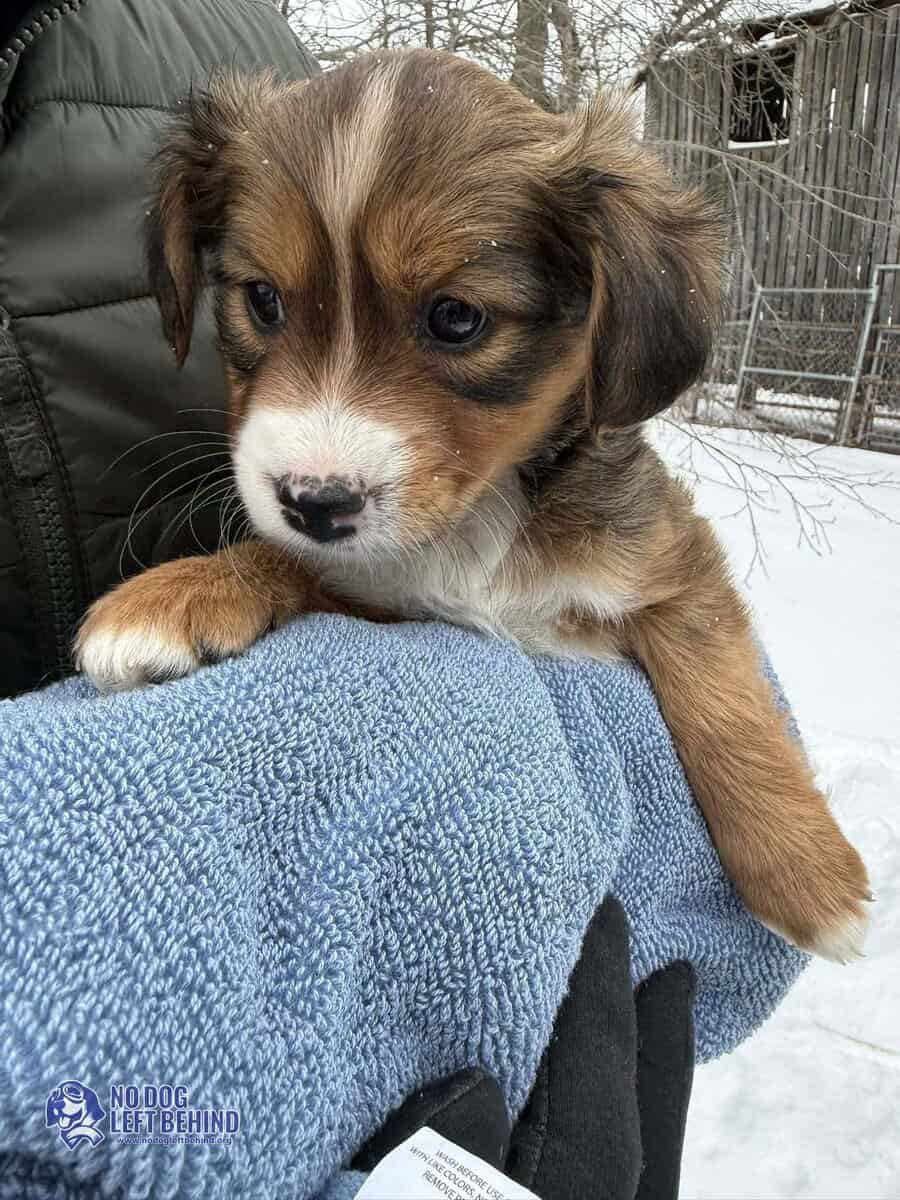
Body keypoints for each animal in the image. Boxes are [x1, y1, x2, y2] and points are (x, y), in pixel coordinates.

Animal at [75, 49, 870, 960]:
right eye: (262, 299)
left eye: (456, 317)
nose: (314, 502)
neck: (483, 514)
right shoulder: (385, 594)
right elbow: (303, 564)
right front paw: (180, 594)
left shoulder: (671, 561)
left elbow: (723, 699)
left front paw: (809, 872)